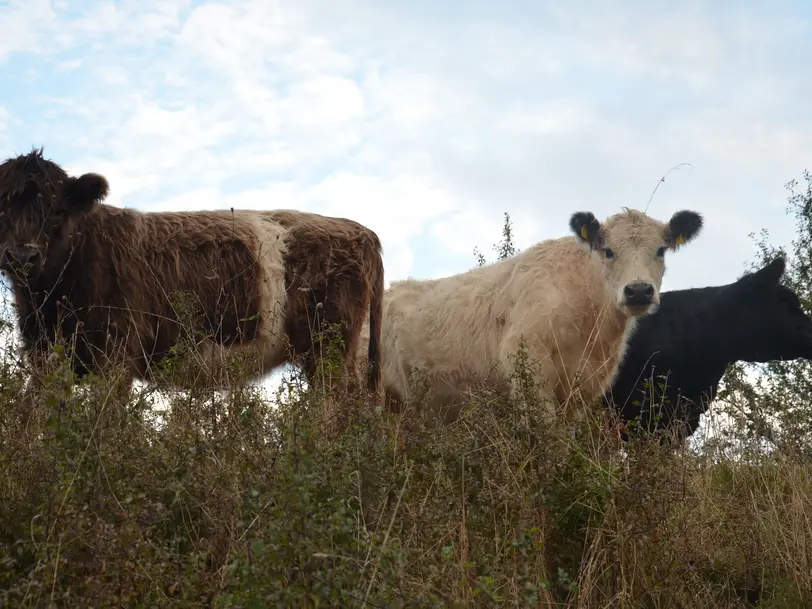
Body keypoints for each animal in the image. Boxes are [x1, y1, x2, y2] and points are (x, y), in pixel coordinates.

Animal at [0, 147, 386, 394]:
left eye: (57, 211)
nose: (22, 257)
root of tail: (360, 229)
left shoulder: (117, 352)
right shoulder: (42, 354)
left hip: (329, 349)